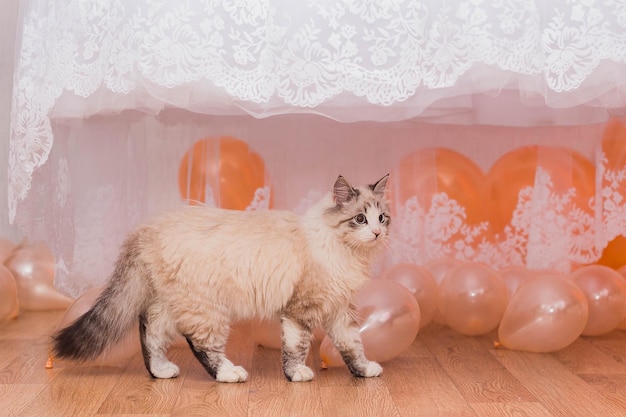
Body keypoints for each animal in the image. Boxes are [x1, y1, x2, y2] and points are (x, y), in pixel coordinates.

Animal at [52, 174, 390, 382]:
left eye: (382, 218)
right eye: (360, 219)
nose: (377, 232)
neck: (345, 252)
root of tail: (146, 228)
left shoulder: (339, 309)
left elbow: (353, 345)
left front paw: (364, 370)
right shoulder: (301, 310)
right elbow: (297, 349)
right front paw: (297, 375)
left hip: (172, 303)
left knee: (149, 330)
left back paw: (161, 371)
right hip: (206, 308)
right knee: (200, 343)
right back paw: (229, 374)